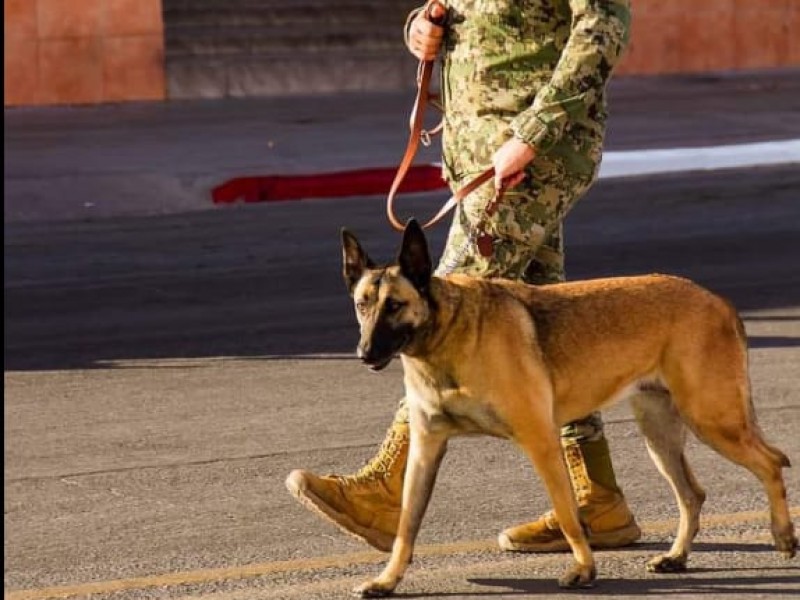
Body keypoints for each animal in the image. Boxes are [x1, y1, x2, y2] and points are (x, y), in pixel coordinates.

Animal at [340, 219, 796, 596]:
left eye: (395, 305)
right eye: (362, 305)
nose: (363, 354)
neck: (445, 336)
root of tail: (717, 299)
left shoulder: (541, 442)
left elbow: (567, 512)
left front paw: (584, 569)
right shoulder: (424, 450)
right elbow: (407, 523)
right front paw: (388, 579)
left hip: (713, 420)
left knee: (770, 463)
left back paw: (783, 534)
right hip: (661, 436)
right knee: (692, 494)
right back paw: (677, 556)